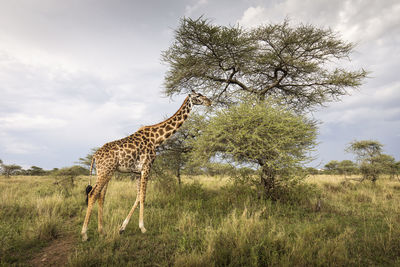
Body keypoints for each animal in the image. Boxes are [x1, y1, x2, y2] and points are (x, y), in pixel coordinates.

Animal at [80, 91, 211, 242]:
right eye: (198, 96)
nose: (209, 102)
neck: (156, 139)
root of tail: (94, 156)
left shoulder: (138, 171)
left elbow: (138, 196)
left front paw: (122, 228)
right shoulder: (147, 167)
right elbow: (143, 196)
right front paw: (142, 227)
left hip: (105, 172)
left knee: (101, 196)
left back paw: (102, 231)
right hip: (105, 171)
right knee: (92, 194)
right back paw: (84, 234)